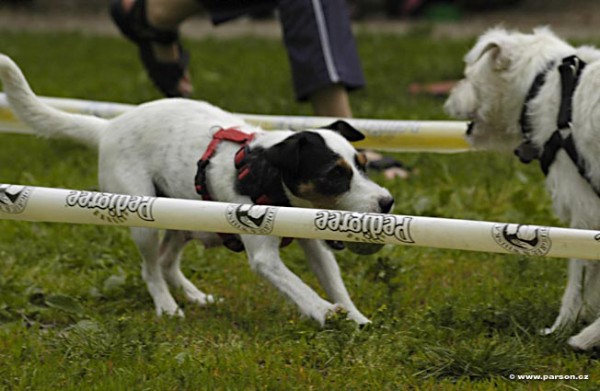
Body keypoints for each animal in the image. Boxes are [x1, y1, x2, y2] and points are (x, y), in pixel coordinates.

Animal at [0, 53, 394, 326]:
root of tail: (109, 127)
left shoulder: (313, 240)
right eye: (334, 174)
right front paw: (324, 311)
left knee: (166, 262)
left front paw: (357, 318)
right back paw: (167, 306)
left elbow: (333, 281)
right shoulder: (264, 255)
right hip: (143, 218)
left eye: (363, 164)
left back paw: (194, 296)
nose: (387, 202)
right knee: (151, 268)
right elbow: (300, 286)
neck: (265, 173)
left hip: (185, 218)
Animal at [446, 27, 600, 352]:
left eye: (468, 75)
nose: (450, 97)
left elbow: (578, 279)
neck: (545, 86)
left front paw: (565, 327)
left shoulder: (585, 209)